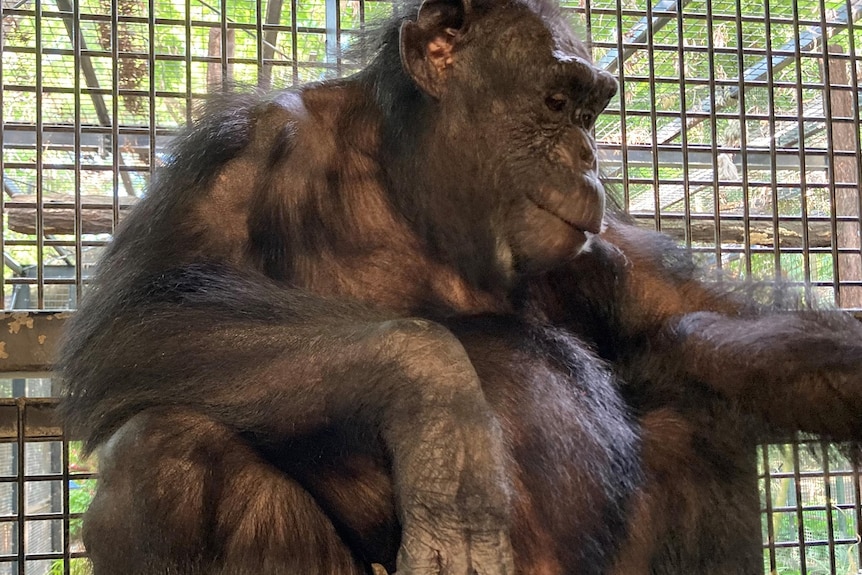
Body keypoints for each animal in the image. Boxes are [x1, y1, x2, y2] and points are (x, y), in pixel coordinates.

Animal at [57, 0, 862, 572]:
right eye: (557, 103)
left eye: (592, 109)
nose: (587, 155)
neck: (411, 189)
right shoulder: (242, 148)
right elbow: (143, 313)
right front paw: (443, 419)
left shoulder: (609, 245)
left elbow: (705, 323)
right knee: (169, 453)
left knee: (697, 417)